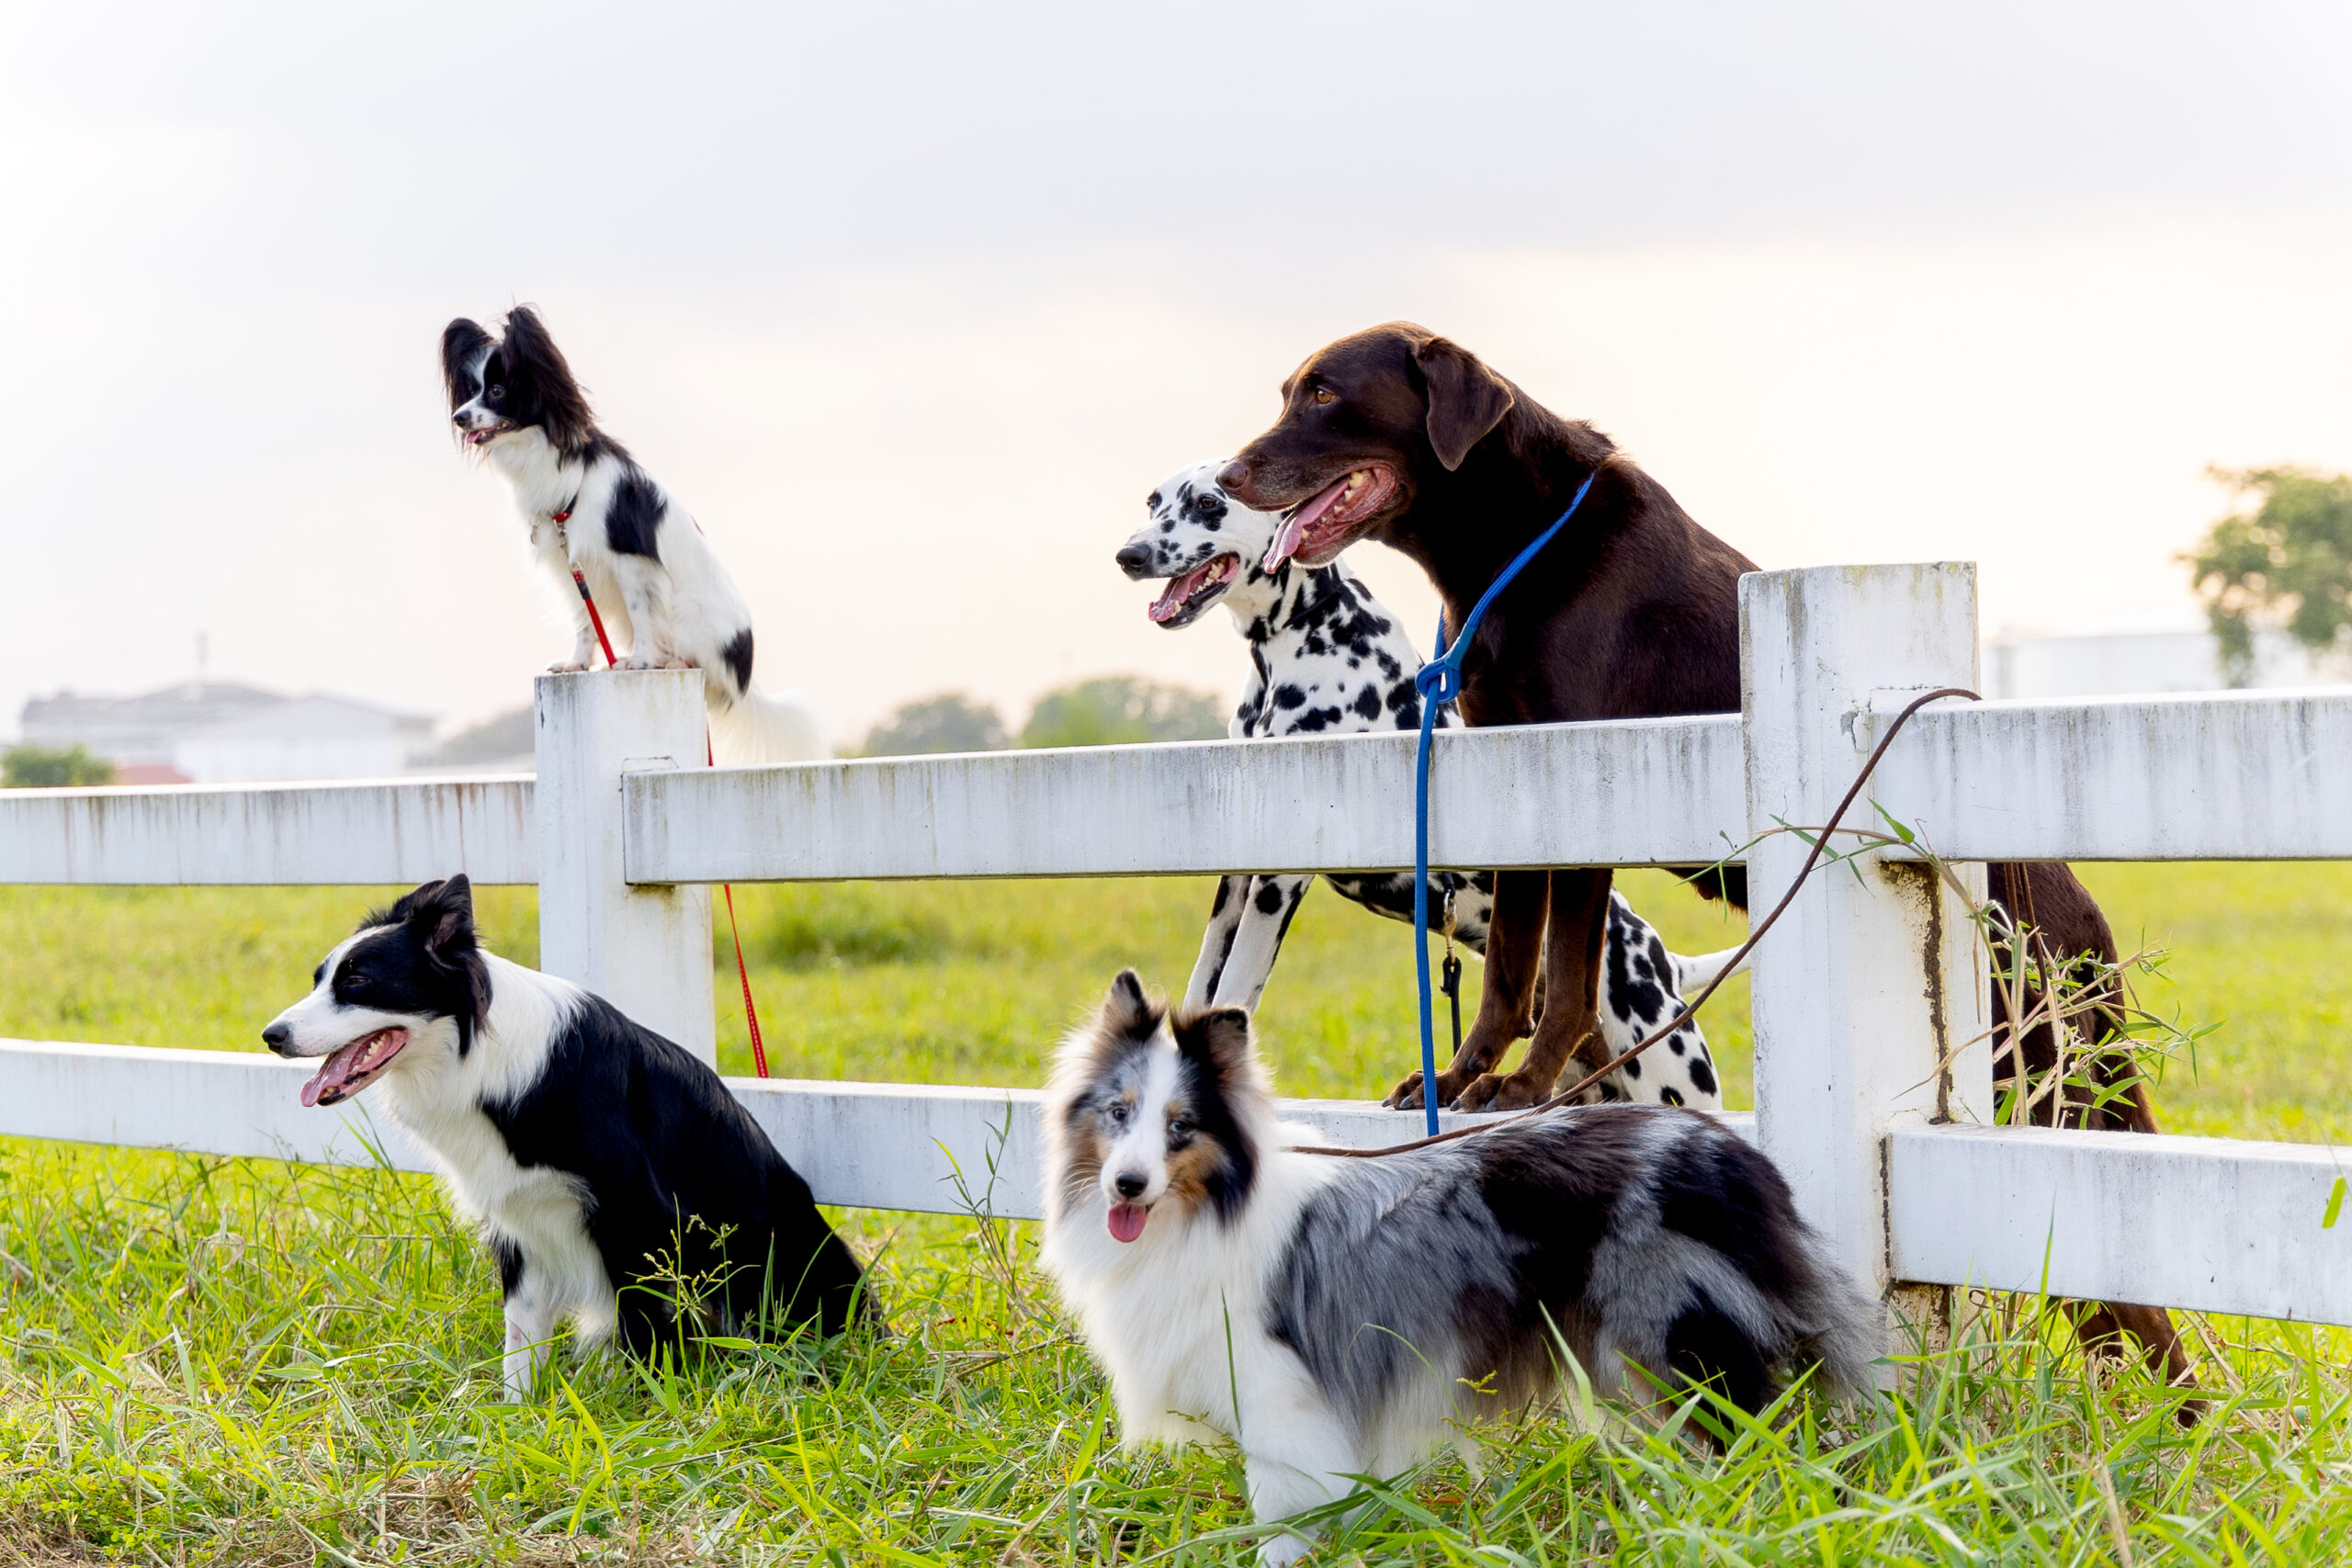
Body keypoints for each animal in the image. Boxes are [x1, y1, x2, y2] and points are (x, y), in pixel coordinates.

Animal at [265, 879, 875, 1401]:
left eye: (357, 980)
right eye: (319, 979)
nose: (271, 1036)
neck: (480, 1059)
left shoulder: (637, 1217)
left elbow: (644, 1331)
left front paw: (648, 1412)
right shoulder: (519, 1222)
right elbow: (521, 1341)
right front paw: (516, 1421)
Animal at [442, 303, 828, 761]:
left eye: (498, 391)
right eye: (471, 390)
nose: (459, 417)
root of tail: (745, 677)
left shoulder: (629, 562)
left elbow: (642, 613)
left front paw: (640, 662)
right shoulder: (571, 562)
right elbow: (584, 622)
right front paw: (577, 664)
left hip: (688, 614)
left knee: (693, 659)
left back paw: (672, 662)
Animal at [1039, 973, 1882, 1561]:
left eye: (1181, 1127)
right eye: (1118, 1112)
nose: (1127, 1185)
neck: (1207, 1209)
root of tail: (1736, 1156)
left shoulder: (1280, 1394)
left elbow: (1282, 1507)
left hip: (1678, 1337)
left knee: (1762, 1433)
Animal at [1110, 465, 1740, 1114]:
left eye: (1210, 503)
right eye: (1154, 502)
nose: (1129, 555)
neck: (1302, 635)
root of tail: (1661, 960)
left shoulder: (1279, 878)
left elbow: (1238, 986)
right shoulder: (1236, 877)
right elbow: (1203, 984)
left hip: (1675, 1080)